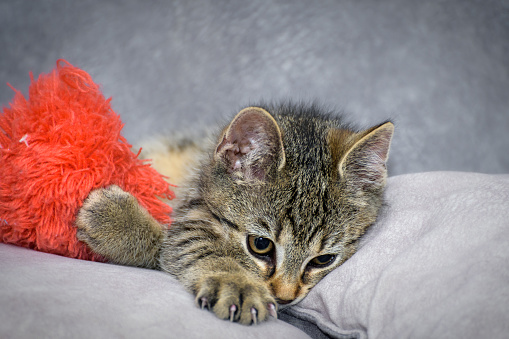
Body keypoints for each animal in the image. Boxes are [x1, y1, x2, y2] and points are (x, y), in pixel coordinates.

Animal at [75, 102, 392, 326]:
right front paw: (237, 283)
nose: (284, 297)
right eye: (260, 245)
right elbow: (186, 243)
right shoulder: (192, 214)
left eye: (323, 260)